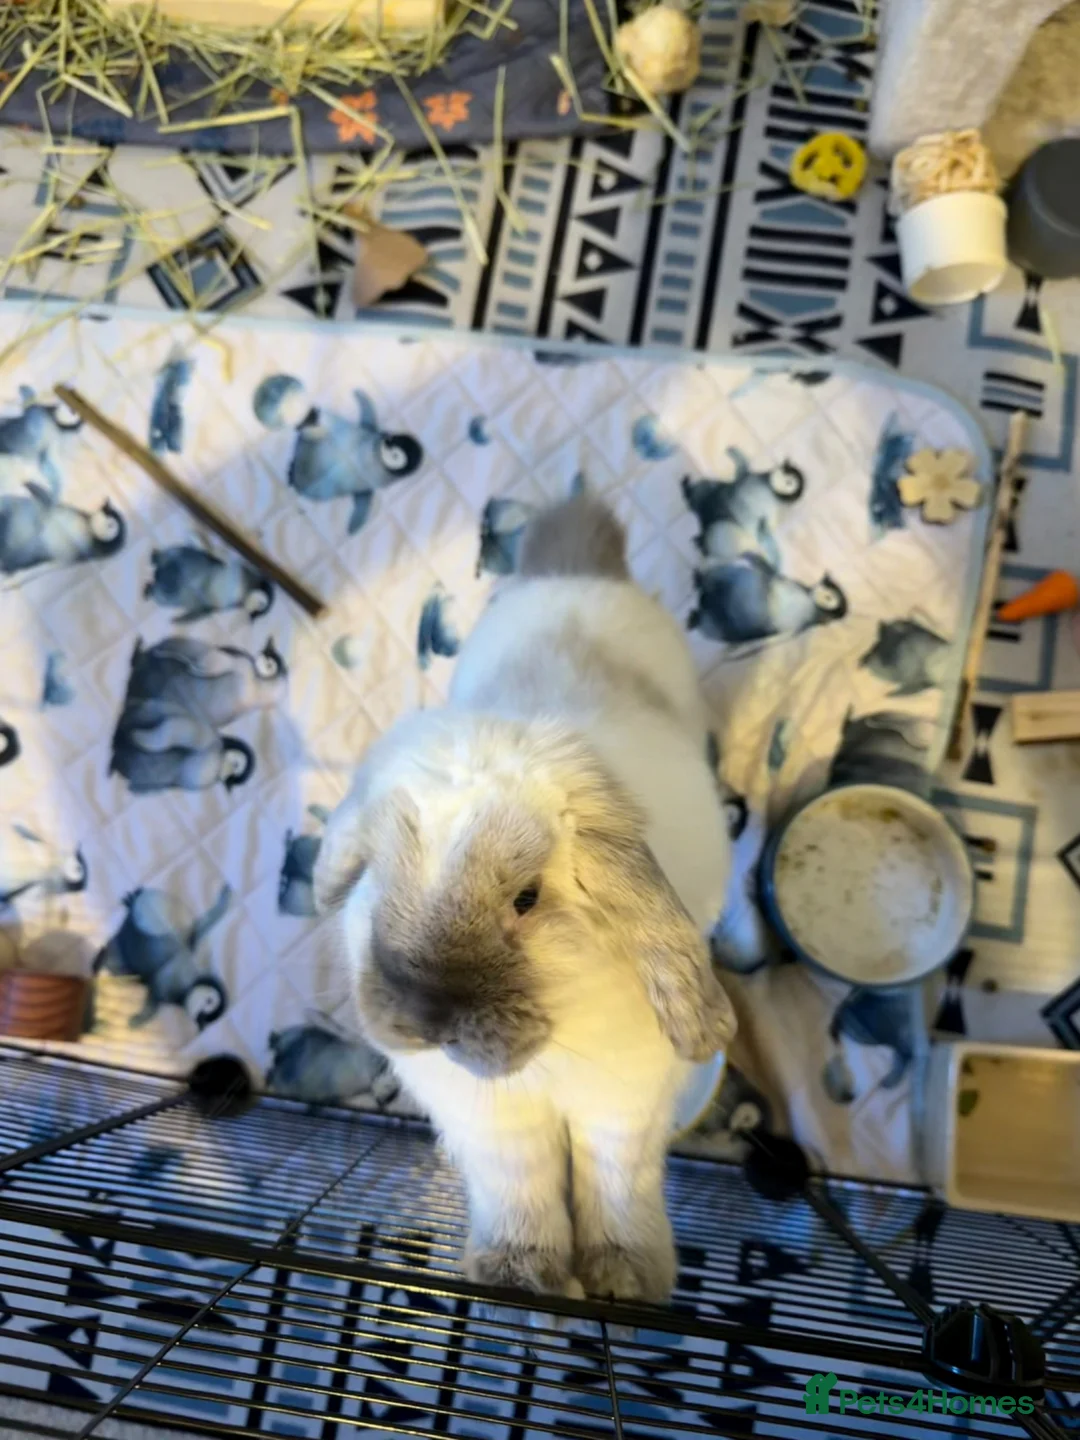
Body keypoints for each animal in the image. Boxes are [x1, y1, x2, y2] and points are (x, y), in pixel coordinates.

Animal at [314, 493, 735, 1309]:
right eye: (378, 873)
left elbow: (616, 1183)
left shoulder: (621, 1108)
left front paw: (623, 1283)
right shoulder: (494, 1129)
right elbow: (522, 1187)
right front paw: (521, 1279)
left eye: (527, 898)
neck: (548, 1050)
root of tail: (575, 567)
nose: (424, 1019)